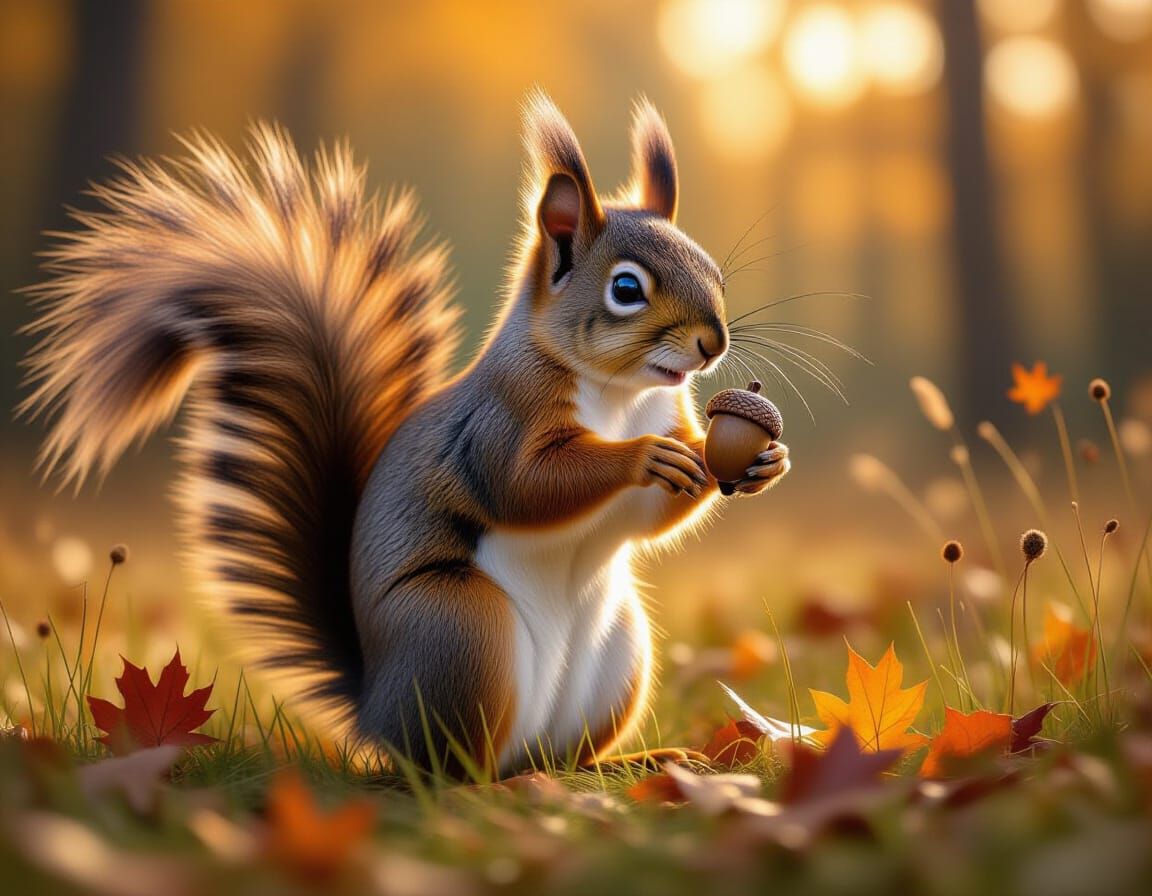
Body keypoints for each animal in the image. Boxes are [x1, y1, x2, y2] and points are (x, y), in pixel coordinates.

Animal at [22, 91, 791, 774]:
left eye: (715, 272)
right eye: (626, 289)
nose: (713, 343)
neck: (622, 395)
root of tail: (374, 711)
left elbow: (654, 512)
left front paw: (764, 463)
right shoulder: (499, 422)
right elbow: (526, 485)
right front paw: (642, 458)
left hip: (617, 660)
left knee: (557, 758)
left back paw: (634, 762)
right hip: (459, 630)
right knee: (457, 771)